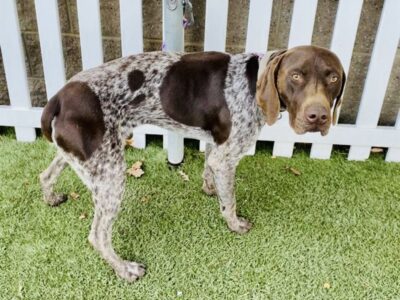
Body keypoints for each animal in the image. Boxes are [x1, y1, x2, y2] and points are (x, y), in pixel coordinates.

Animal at [40, 45, 346, 282]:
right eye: (296, 76)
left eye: (332, 77)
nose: (318, 117)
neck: (252, 82)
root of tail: (57, 99)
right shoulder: (227, 156)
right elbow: (230, 201)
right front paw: (235, 224)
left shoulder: (217, 147)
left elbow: (210, 169)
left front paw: (210, 190)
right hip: (111, 177)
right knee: (98, 236)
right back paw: (125, 270)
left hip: (83, 157)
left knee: (45, 175)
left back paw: (51, 198)